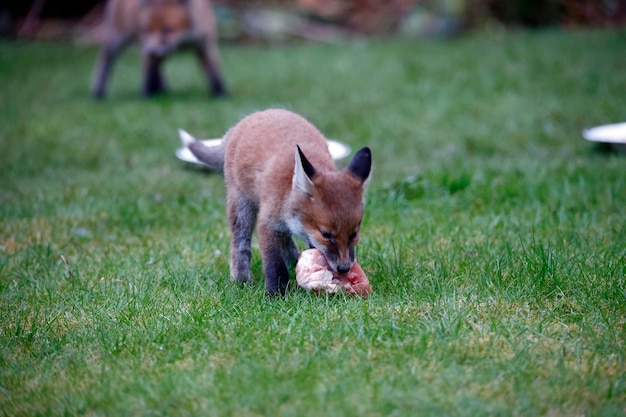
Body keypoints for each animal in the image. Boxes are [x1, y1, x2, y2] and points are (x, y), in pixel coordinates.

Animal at [88, 0, 224, 98]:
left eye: (167, 29)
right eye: (147, 29)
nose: (151, 50)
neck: (183, 41)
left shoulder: (206, 46)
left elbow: (215, 74)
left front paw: (221, 95)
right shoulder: (147, 46)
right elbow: (149, 76)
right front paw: (146, 97)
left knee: (159, 68)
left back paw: (163, 89)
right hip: (117, 39)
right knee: (104, 60)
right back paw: (98, 93)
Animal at [183, 109, 372, 294]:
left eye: (354, 234)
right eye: (326, 234)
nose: (344, 268)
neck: (287, 189)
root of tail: (256, 115)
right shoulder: (267, 222)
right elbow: (274, 263)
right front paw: (277, 293)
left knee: (286, 238)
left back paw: (294, 259)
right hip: (241, 205)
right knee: (241, 244)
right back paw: (241, 278)